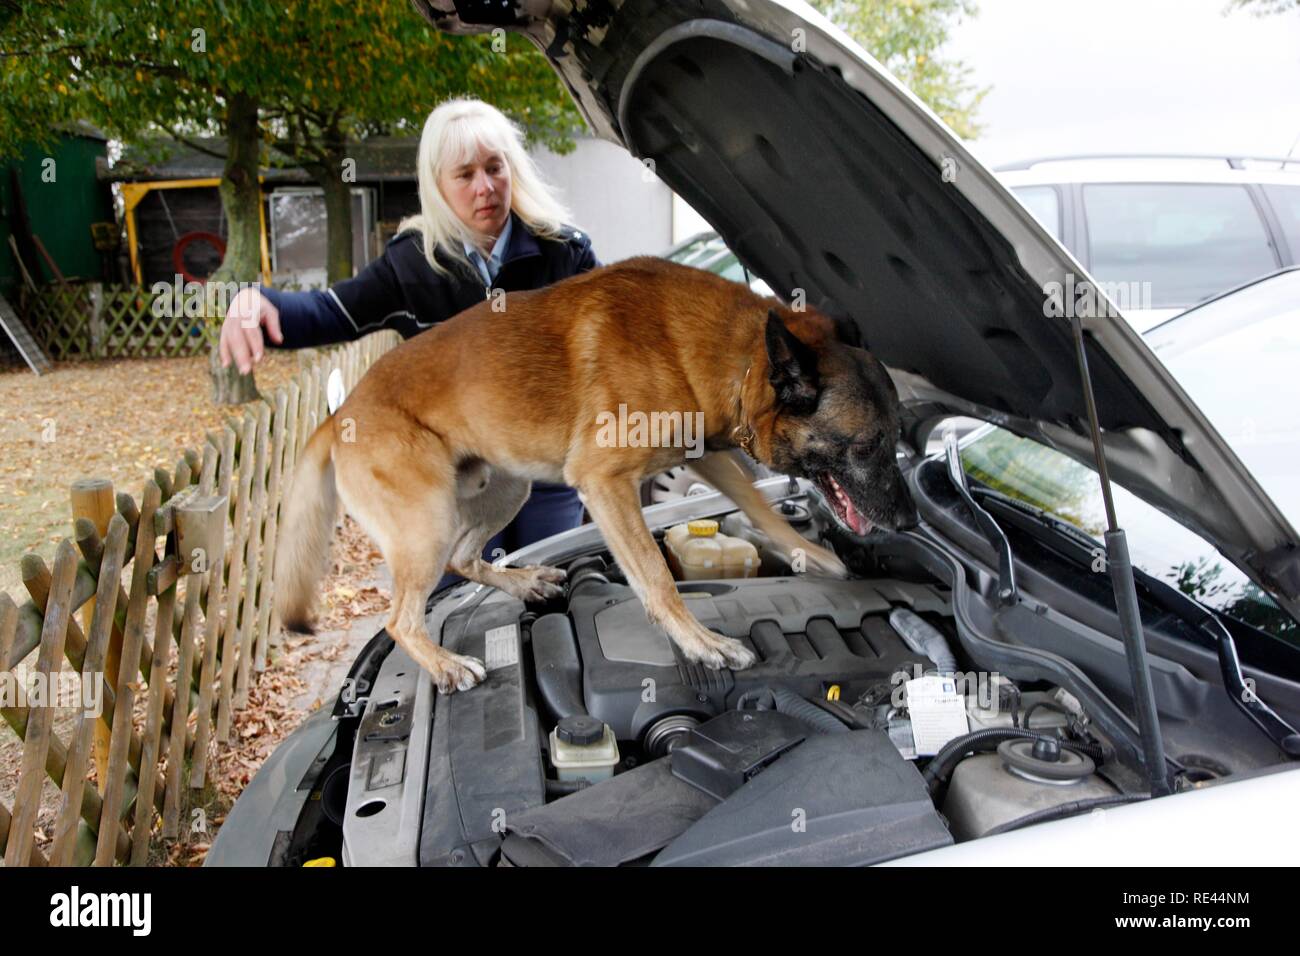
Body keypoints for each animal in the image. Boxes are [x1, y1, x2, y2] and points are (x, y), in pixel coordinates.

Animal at [279, 260, 920, 697]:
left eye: (899, 435)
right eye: (868, 445)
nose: (911, 520)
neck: (735, 359)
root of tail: (338, 414)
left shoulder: (707, 455)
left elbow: (758, 507)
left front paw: (813, 554)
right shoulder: (607, 484)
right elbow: (657, 578)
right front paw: (701, 642)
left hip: (508, 486)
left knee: (464, 557)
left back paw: (522, 584)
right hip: (428, 521)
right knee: (400, 619)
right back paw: (444, 663)